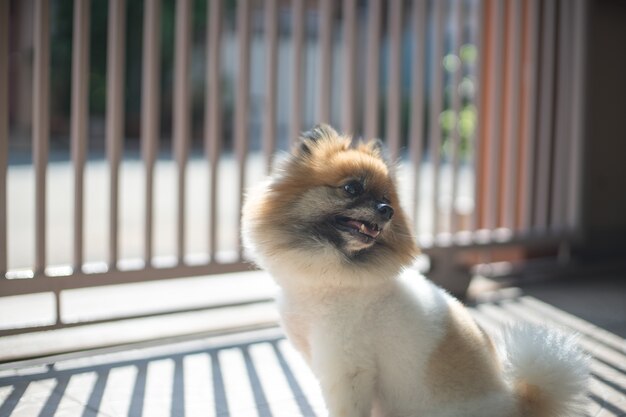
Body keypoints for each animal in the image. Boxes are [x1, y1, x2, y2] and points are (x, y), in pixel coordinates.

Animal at [241, 124, 588, 416]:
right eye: (351, 188)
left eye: (386, 198)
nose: (387, 210)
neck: (332, 279)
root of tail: (516, 405)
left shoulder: (348, 366)